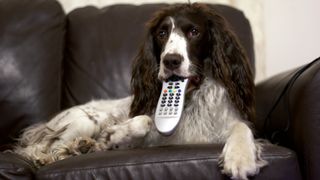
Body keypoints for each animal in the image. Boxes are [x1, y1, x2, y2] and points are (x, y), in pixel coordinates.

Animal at [10, 3, 264, 180]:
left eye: (194, 31)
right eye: (162, 33)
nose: (171, 60)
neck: (190, 100)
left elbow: (241, 128)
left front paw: (240, 158)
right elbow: (144, 121)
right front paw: (114, 135)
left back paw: (83, 147)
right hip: (85, 120)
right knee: (40, 149)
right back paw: (66, 150)